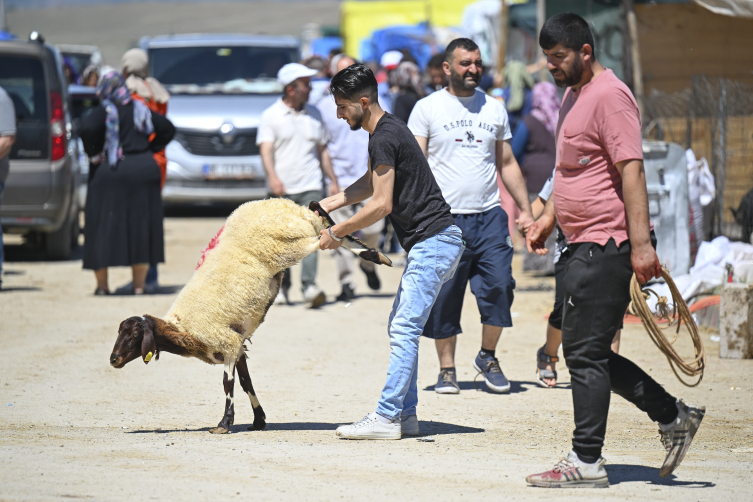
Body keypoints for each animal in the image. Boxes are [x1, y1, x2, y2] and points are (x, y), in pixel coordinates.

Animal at [110, 198, 394, 434]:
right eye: (119, 331)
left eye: (135, 334)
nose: (113, 359)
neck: (183, 330)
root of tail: (288, 206)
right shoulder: (238, 347)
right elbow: (247, 382)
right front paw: (259, 421)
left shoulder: (226, 343)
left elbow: (228, 384)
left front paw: (223, 424)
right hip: (296, 237)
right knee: (335, 231)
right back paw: (379, 255)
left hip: (288, 246)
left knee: (325, 239)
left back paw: (372, 254)